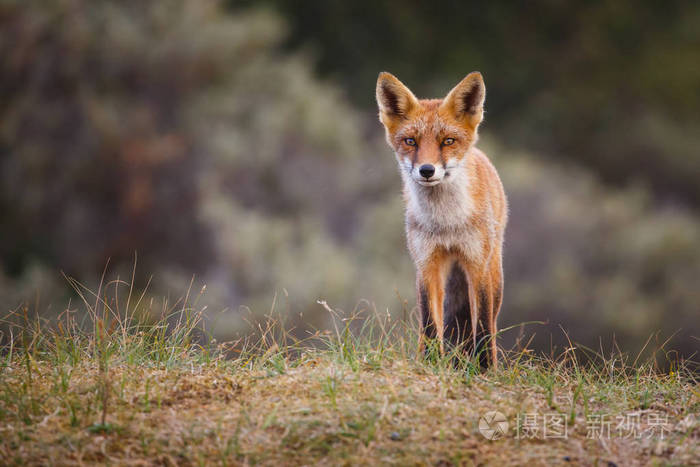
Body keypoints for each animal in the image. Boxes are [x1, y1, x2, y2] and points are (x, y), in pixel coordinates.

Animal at [378, 71, 508, 368]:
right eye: (411, 141)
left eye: (447, 141)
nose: (427, 170)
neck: (447, 223)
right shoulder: (427, 264)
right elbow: (429, 325)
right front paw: (430, 363)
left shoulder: (477, 265)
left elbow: (482, 327)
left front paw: (485, 369)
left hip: (494, 271)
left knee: (490, 324)